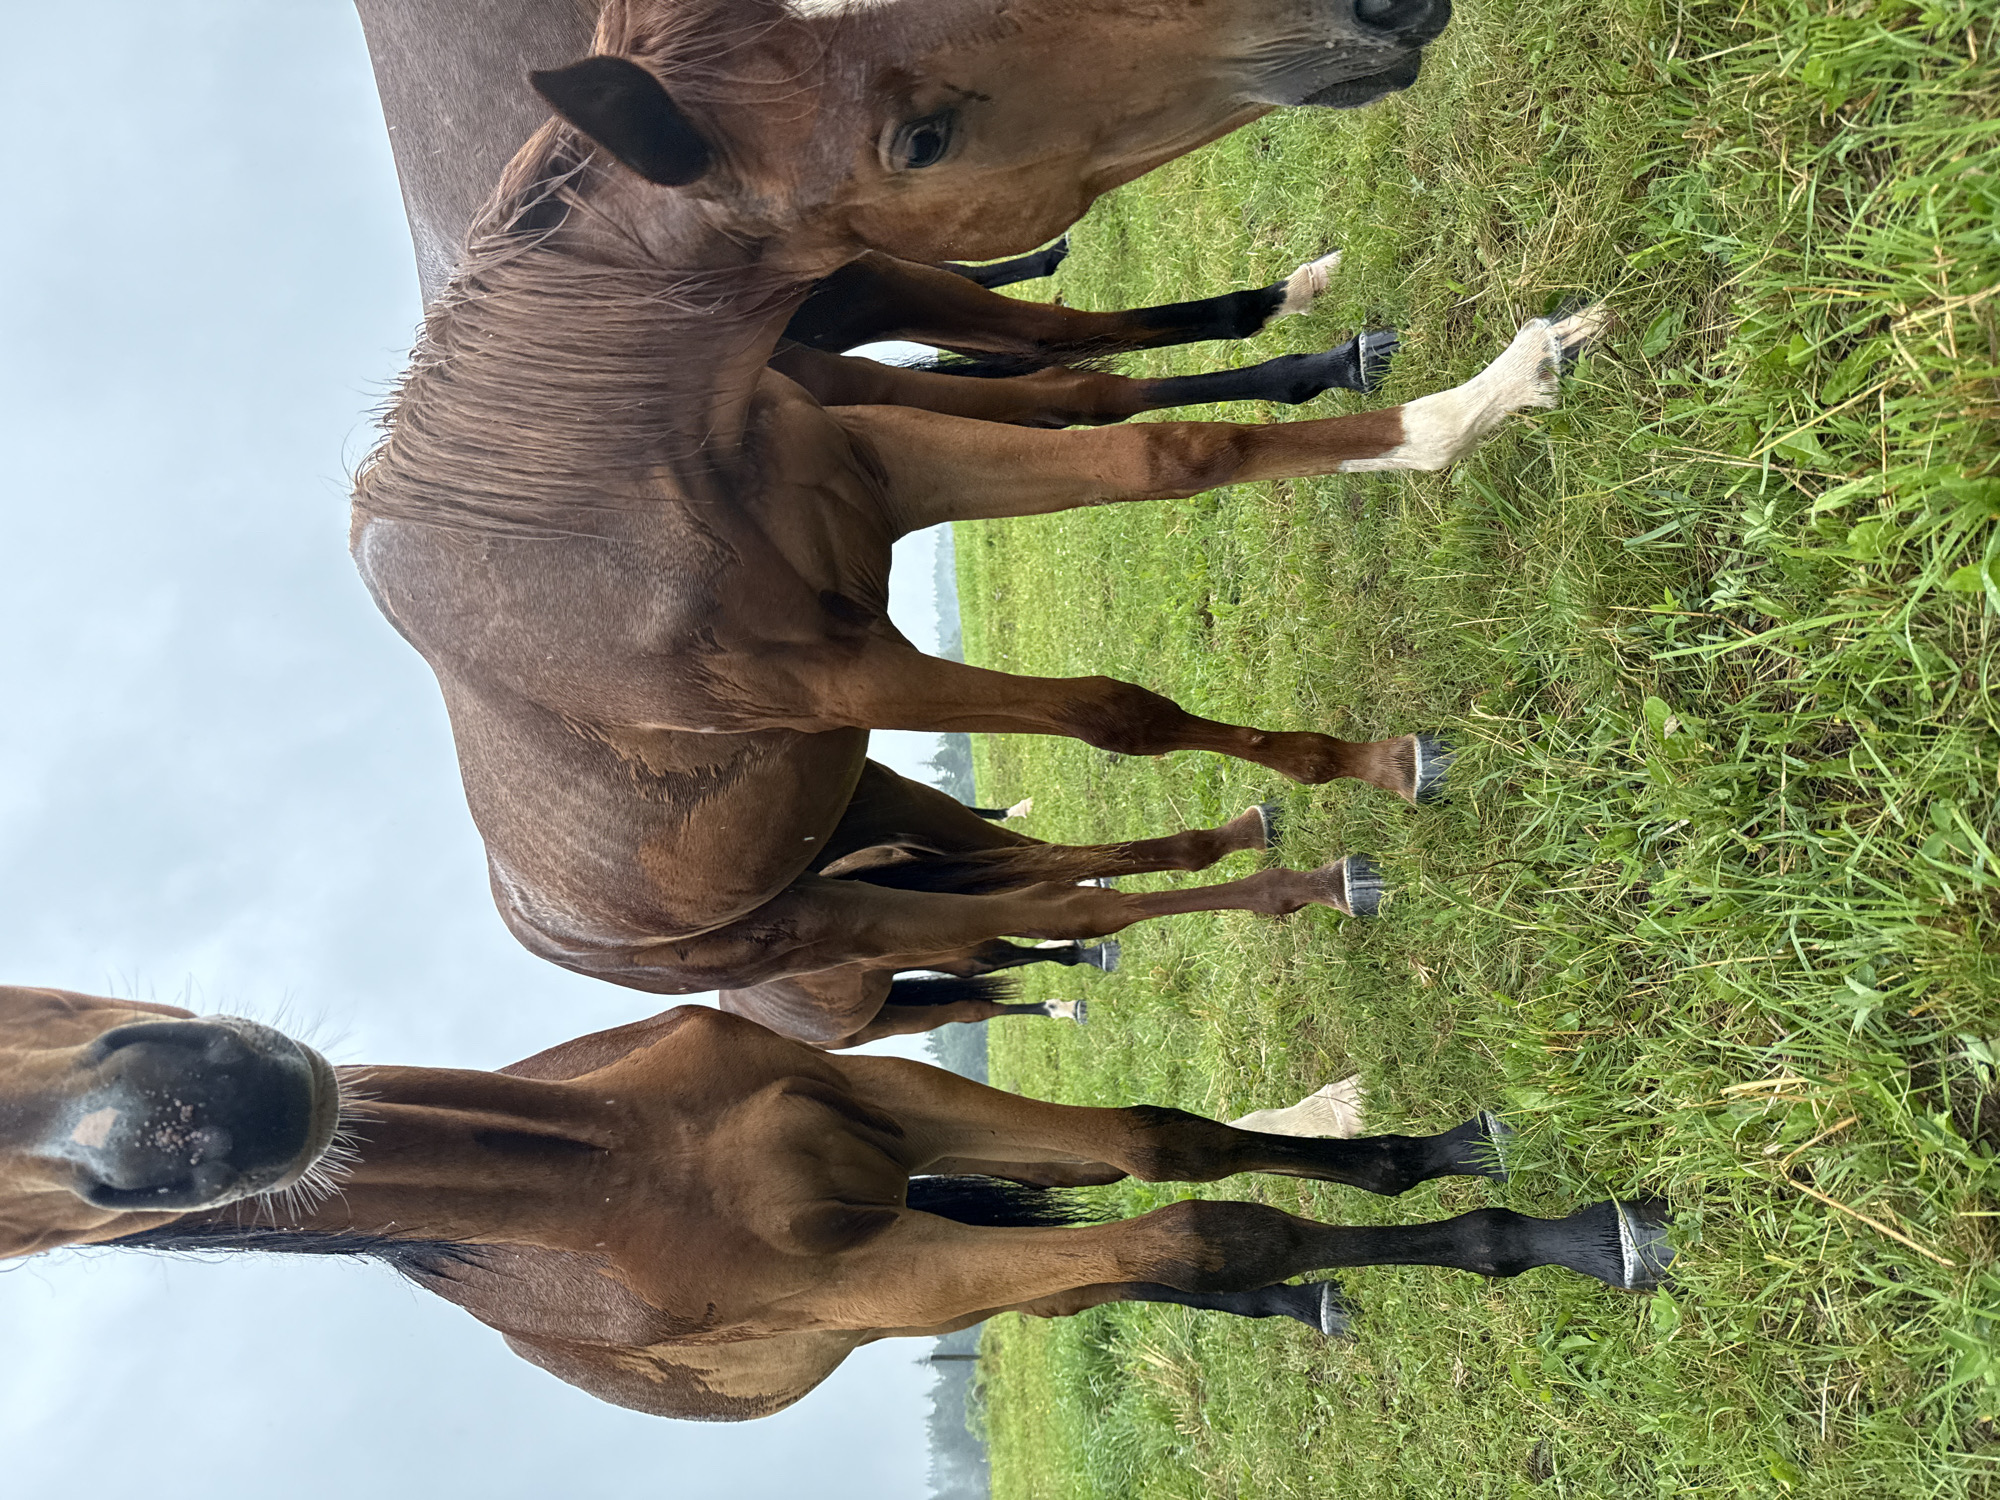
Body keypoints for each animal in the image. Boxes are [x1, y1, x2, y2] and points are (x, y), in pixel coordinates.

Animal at [3, 984, 1672, 1420]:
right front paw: (1569, 1241)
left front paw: (1463, 1172)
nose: (200, 1115)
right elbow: (1200, 1226)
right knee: (1116, 1277)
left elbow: (1168, 1149)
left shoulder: (902, 1110)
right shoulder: (900, 1280)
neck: (626, 1168)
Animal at [349, 0, 1605, 1044]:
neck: (592, 504)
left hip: (883, 803)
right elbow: (1118, 711)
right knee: (1066, 905)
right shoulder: (857, 676)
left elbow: (1159, 447)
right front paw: (1480, 398)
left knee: (1044, 869)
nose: (1375, 9)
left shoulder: (898, 464)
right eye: (919, 140)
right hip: (853, 922)